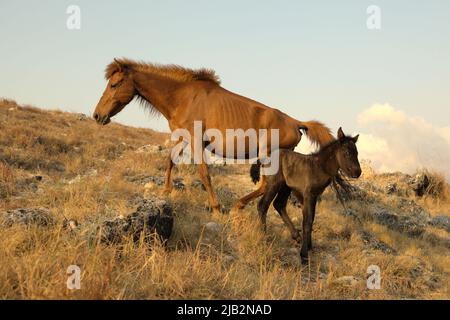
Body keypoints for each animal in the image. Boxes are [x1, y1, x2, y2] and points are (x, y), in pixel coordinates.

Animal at [94, 59, 334, 215]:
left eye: (114, 84)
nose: (97, 115)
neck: (182, 96)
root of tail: (296, 122)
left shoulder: (197, 141)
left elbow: (204, 173)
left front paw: (216, 208)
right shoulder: (182, 138)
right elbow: (170, 160)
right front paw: (166, 191)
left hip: (268, 156)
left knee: (265, 185)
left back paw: (238, 206)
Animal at [250, 127, 362, 262]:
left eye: (356, 152)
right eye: (346, 152)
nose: (357, 172)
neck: (319, 167)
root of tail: (266, 158)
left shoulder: (314, 196)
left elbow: (311, 219)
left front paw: (308, 246)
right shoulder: (309, 195)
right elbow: (307, 222)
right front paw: (304, 254)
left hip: (285, 187)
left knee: (279, 204)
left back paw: (296, 236)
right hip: (274, 184)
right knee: (262, 205)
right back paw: (264, 236)